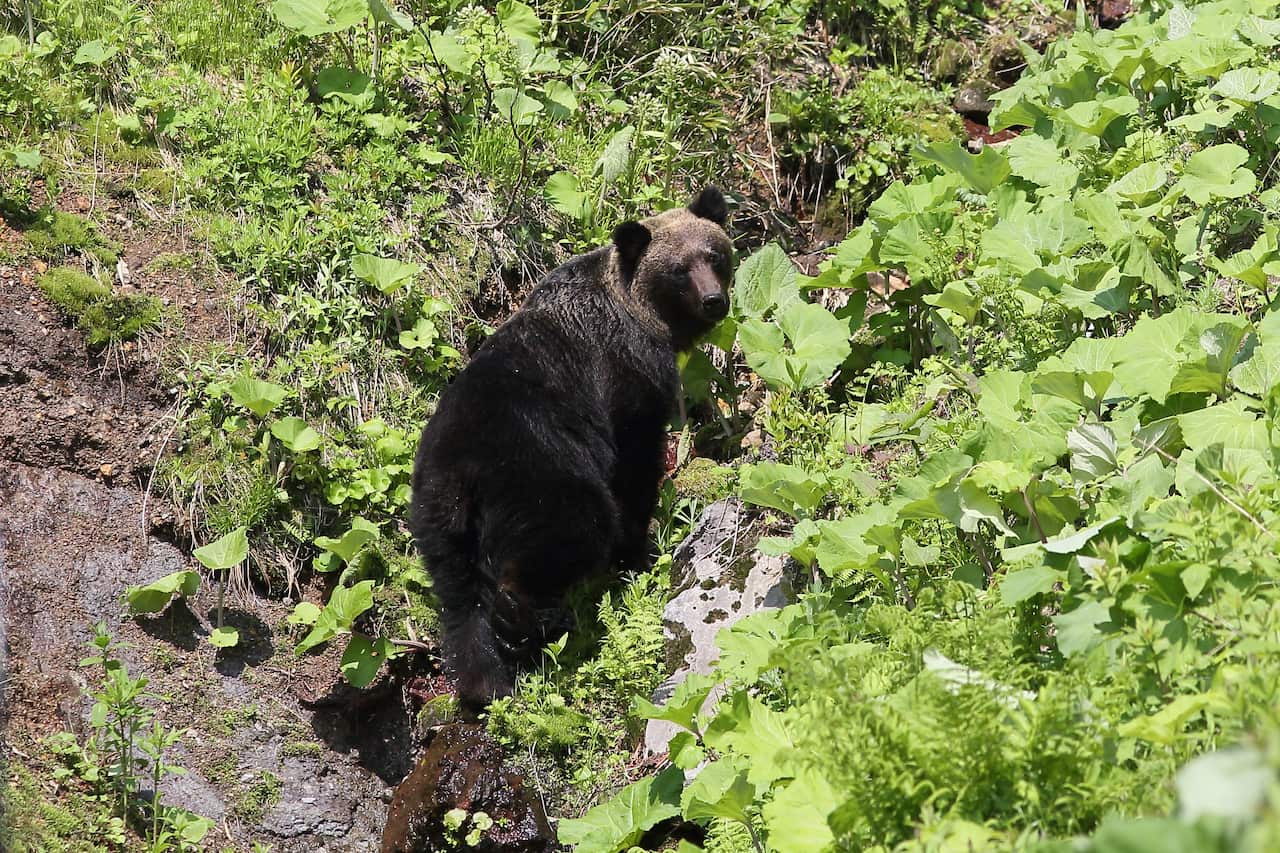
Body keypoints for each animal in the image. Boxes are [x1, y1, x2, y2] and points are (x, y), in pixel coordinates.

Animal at [410, 187, 733, 709]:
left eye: (714, 255)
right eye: (679, 268)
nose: (714, 301)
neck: (645, 317)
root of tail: (462, 471)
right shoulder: (627, 378)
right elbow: (635, 465)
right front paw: (638, 551)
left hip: (438, 519)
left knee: (459, 600)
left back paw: (486, 682)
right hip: (540, 475)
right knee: (569, 533)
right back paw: (532, 623)